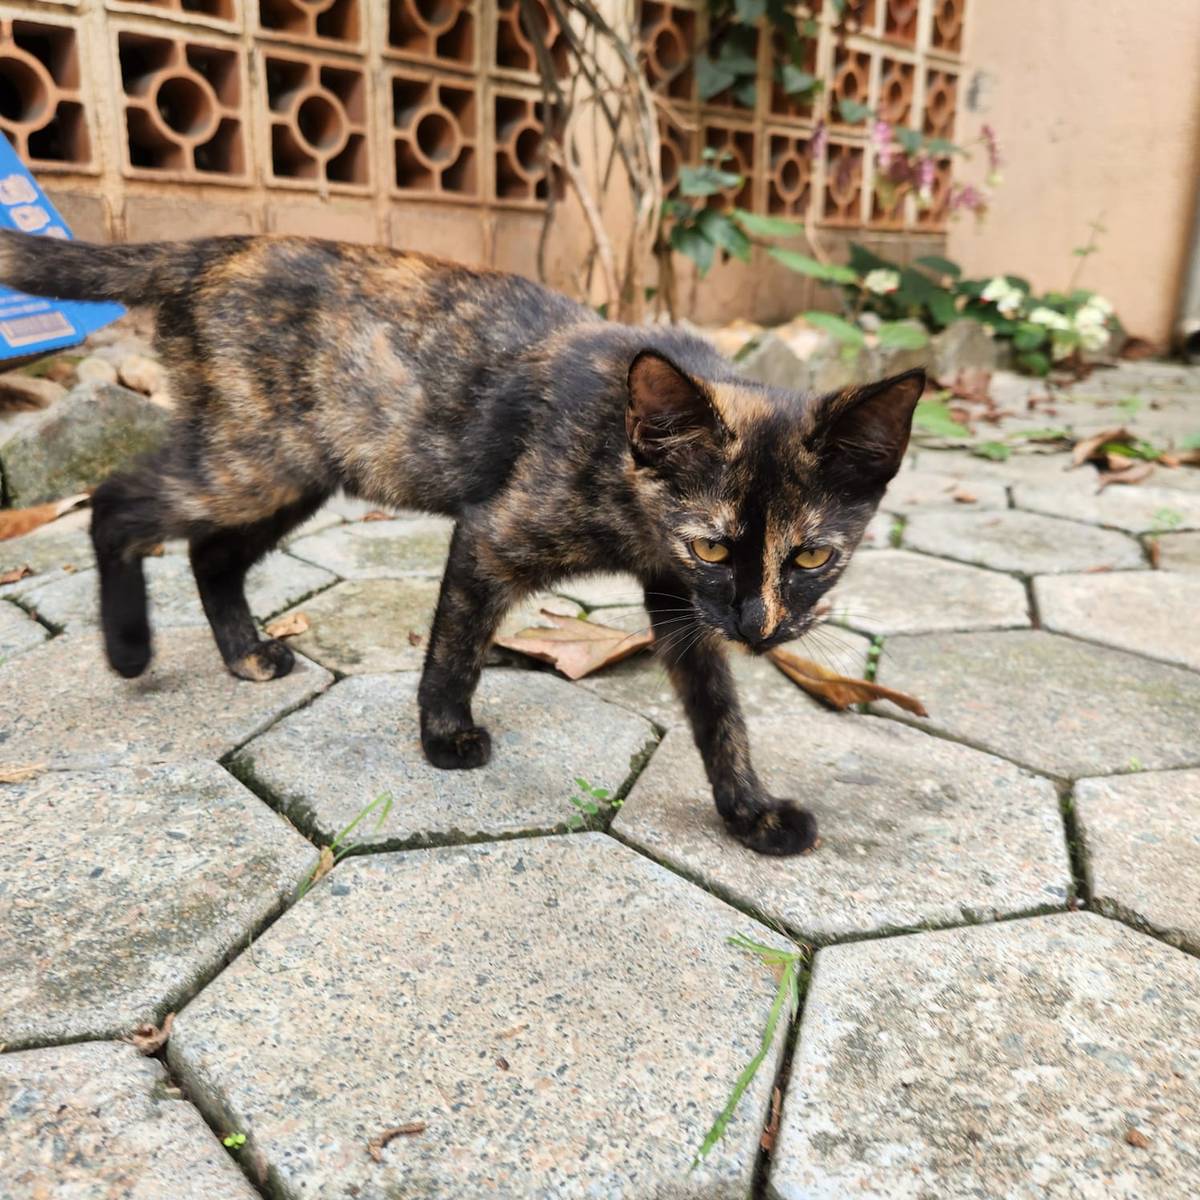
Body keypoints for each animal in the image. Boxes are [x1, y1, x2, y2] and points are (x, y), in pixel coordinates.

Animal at [0, 231, 922, 856]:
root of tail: (216, 248)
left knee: (209, 553)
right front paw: (444, 736)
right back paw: (128, 648)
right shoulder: (496, 534)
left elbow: (719, 715)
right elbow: (457, 645)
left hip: (299, 471)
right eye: (714, 547)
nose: (760, 628)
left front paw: (750, 811)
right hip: (254, 462)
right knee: (115, 503)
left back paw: (245, 653)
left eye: (812, 557)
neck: (626, 458)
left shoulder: (680, 606)